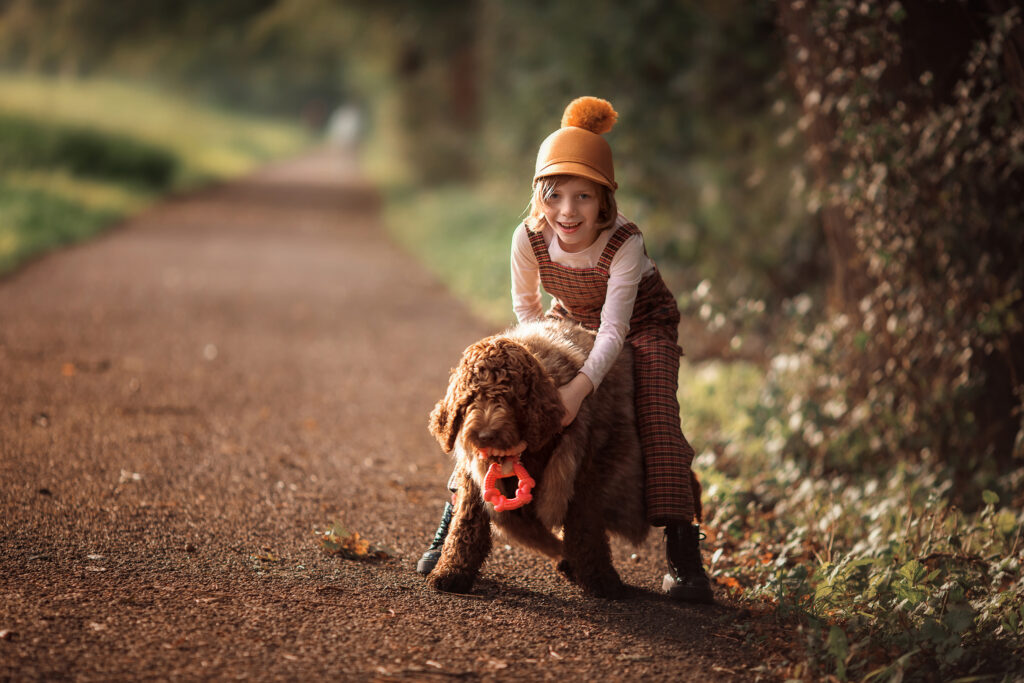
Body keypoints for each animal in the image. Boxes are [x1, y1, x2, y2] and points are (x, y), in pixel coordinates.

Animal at [428, 317, 651, 593]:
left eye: (510, 397)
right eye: (470, 398)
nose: (485, 435)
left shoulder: (578, 477)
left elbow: (586, 529)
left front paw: (600, 579)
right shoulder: (475, 478)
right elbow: (467, 524)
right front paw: (452, 570)